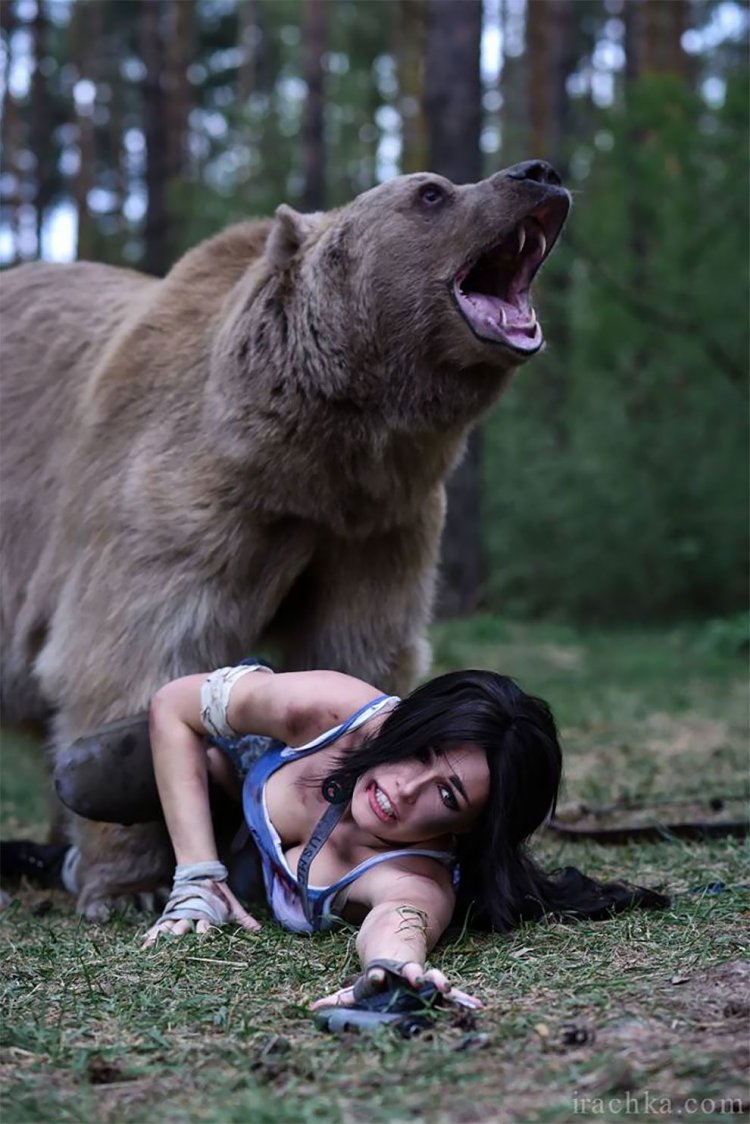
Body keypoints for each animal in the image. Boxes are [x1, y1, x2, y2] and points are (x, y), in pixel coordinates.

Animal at [0, 161, 569, 920]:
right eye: (431, 192)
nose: (540, 174)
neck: (310, 464)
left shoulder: (380, 529)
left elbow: (356, 648)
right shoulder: (176, 499)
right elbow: (135, 655)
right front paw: (130, 886)